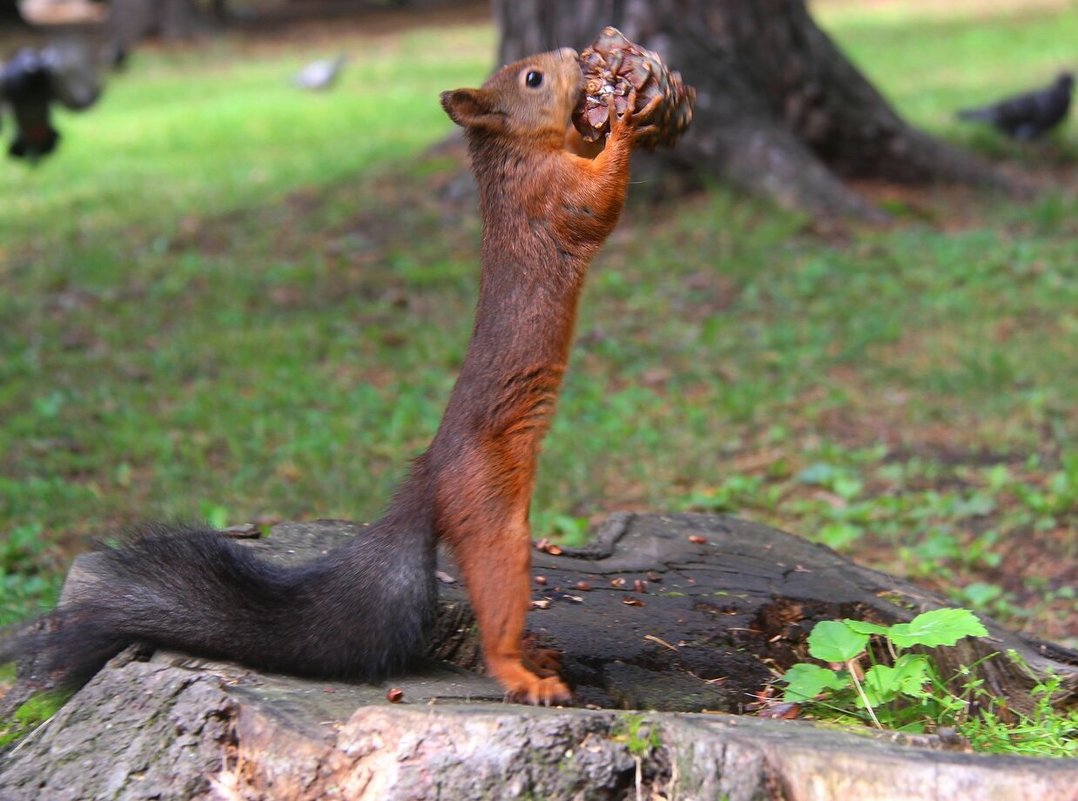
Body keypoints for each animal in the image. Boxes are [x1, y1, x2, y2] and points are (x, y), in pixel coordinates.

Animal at [2, 46, 655, 702]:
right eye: (532, 78)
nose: (572, 54)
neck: (515, 155)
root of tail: (428, 479)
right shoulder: (552, 198)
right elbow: (597, 205)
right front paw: (626, 125)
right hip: (495, 520)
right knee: (496, 605)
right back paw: (523, 674)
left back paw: (538, 656)